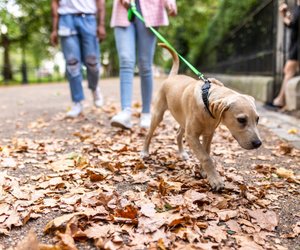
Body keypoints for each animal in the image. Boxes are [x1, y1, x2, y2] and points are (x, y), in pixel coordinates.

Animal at [142, 44, 262, 190]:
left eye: (257, 119)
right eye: (241, 120)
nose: (258, 144)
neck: (206, 98)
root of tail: (172, 77)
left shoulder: (208, 134)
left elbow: (206, 152)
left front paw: (204, 172)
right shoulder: (192, 136)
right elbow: (205, 157)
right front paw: (215, 179)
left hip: (183, 121)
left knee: (178, 134)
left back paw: (182, 153)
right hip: (158, 115)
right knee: (149, 134)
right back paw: (145, 152)